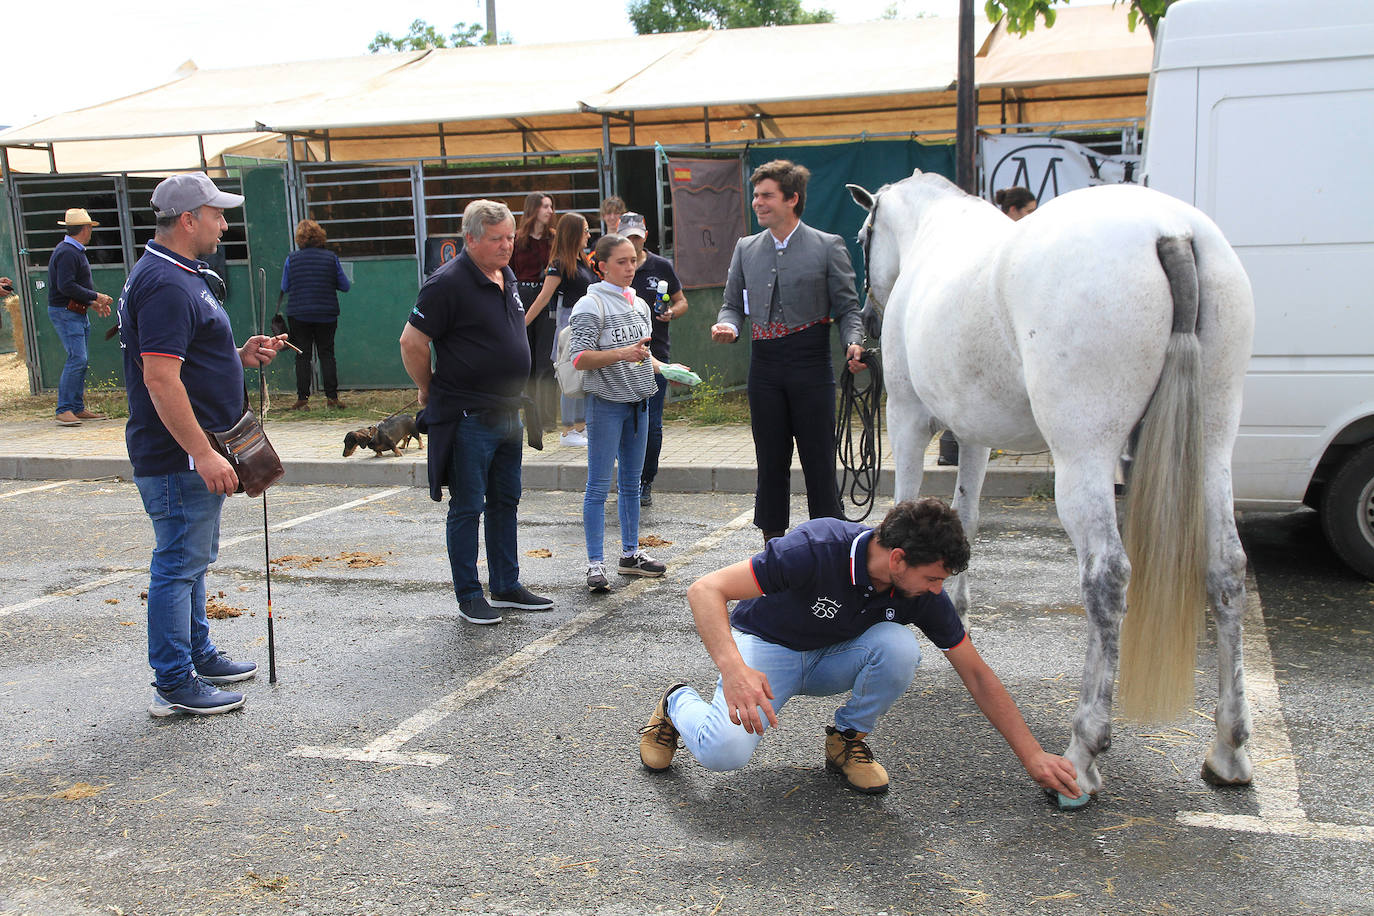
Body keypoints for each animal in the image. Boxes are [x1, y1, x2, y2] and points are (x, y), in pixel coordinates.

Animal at [851, 173, 1258, 807]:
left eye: (865, 235)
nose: (869, 320)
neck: (932, 234)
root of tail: (1171, 231)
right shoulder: (975, 434)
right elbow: (963, 521)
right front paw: (954, 609)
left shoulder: (909, 419)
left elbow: (904, 511)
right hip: (1214, 444)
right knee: (1226, 569)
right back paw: (1229, 750)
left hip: (1083, 453)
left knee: (1108, 577)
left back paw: (1081, 756)